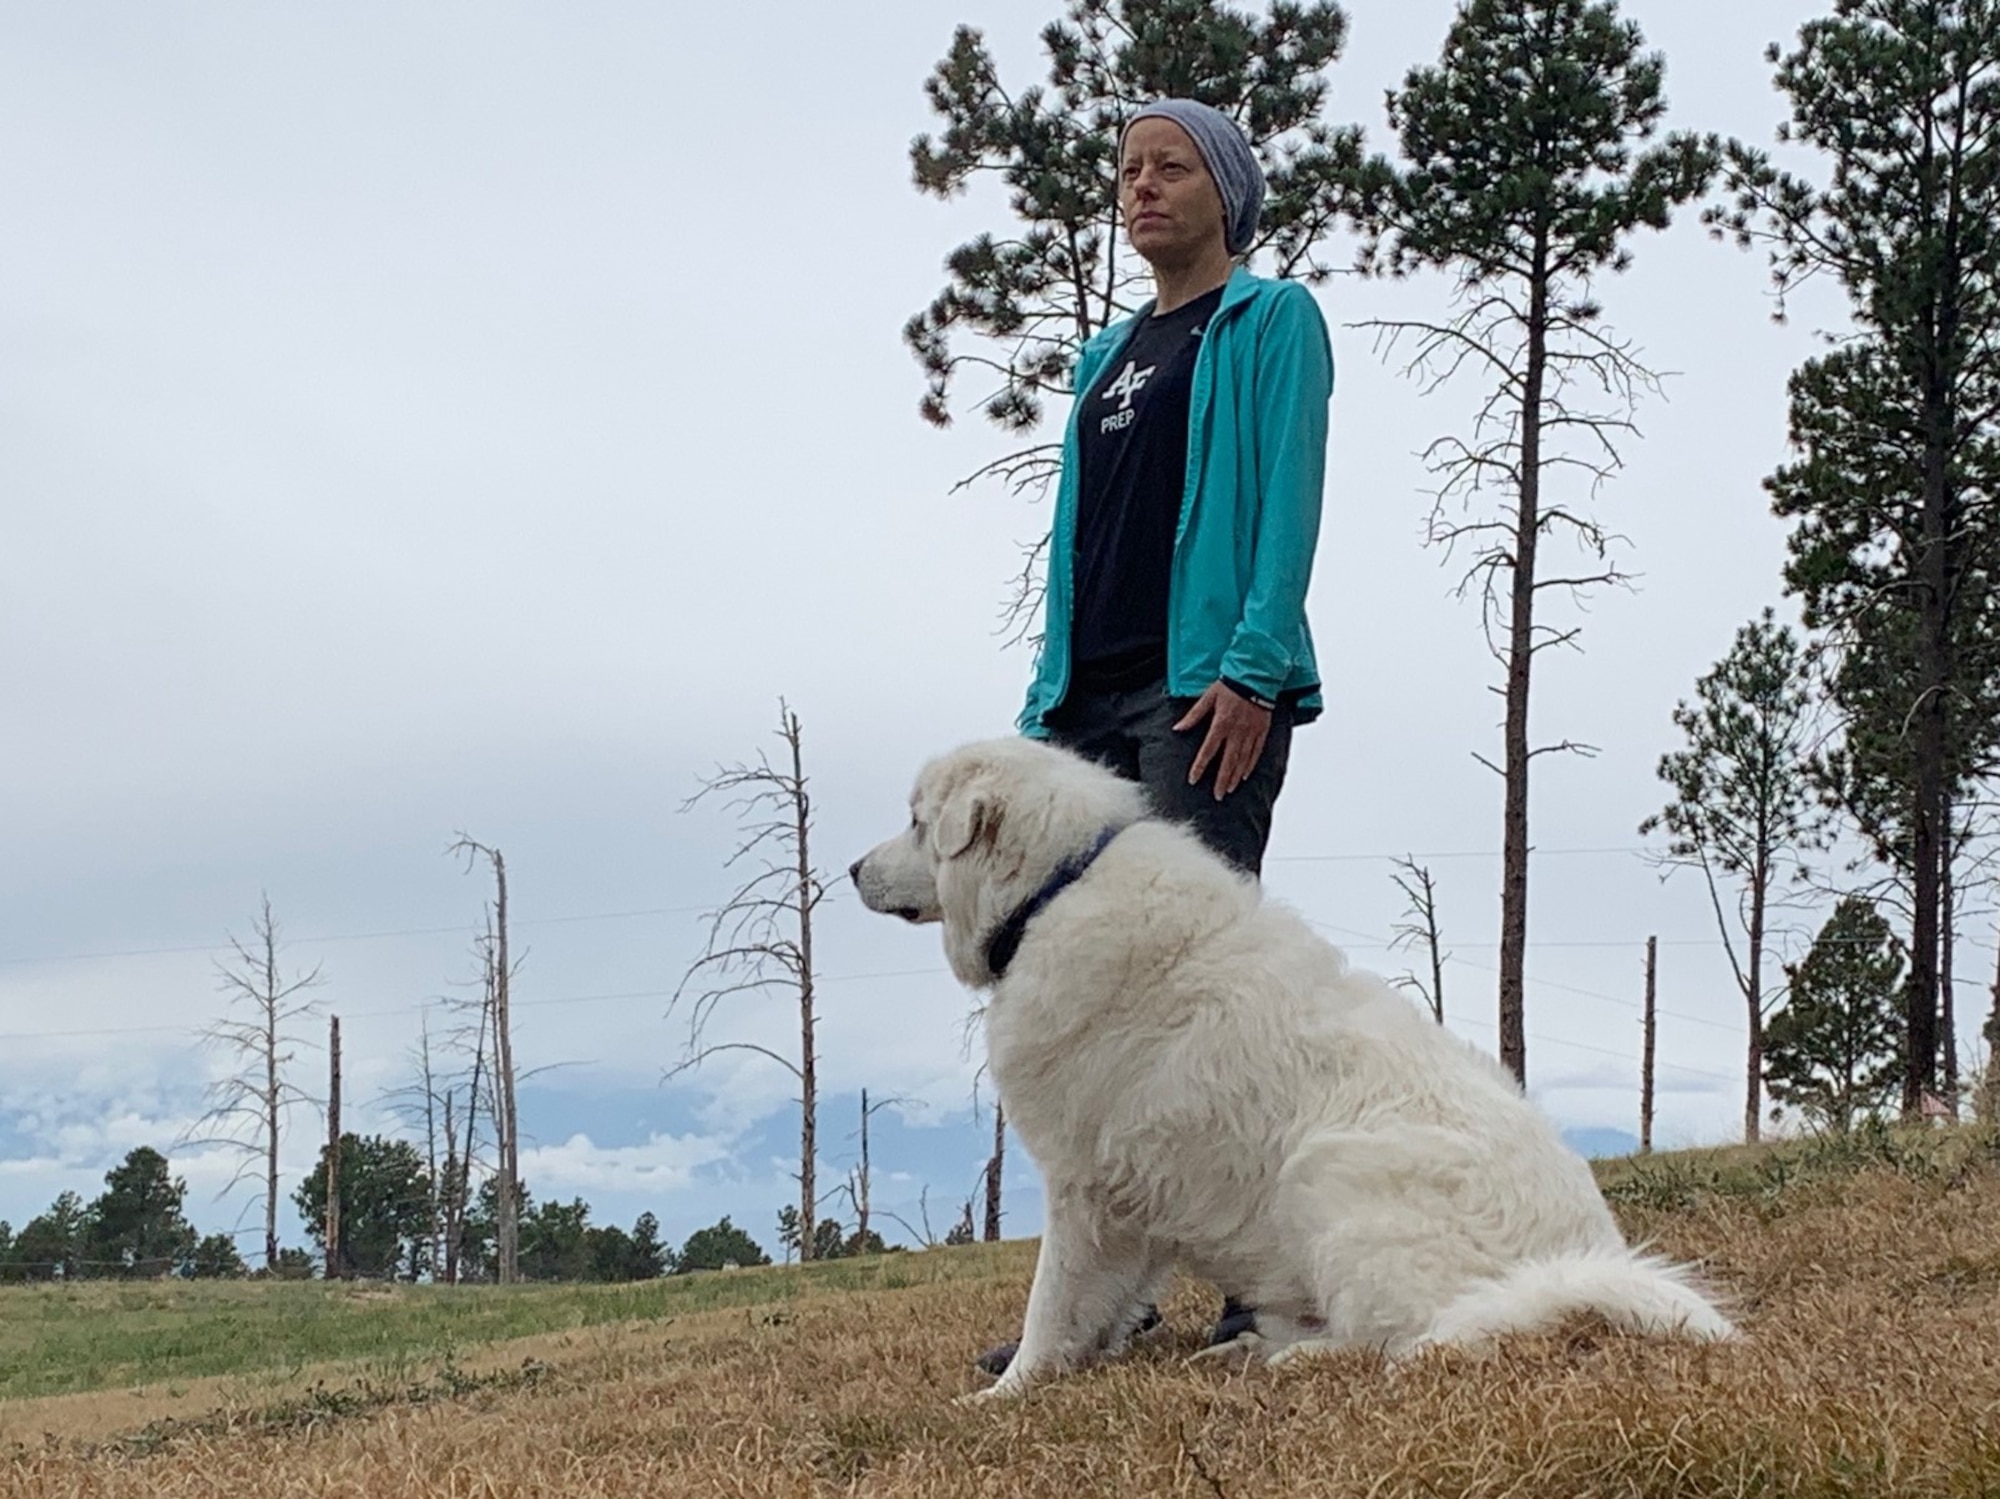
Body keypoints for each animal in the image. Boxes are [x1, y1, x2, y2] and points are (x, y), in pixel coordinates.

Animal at [852, 739, 1728, 1399]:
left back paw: (1296, 1357)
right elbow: (1101, 1304)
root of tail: (1578, 1262)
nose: (853, 868)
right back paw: (1249, 1348)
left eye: (916, 822)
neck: (1056, 887)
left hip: (1326, 1172)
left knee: (1406, 1339)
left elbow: (1051, 1306)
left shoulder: (1082, 1185)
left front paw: (1008, 1391)